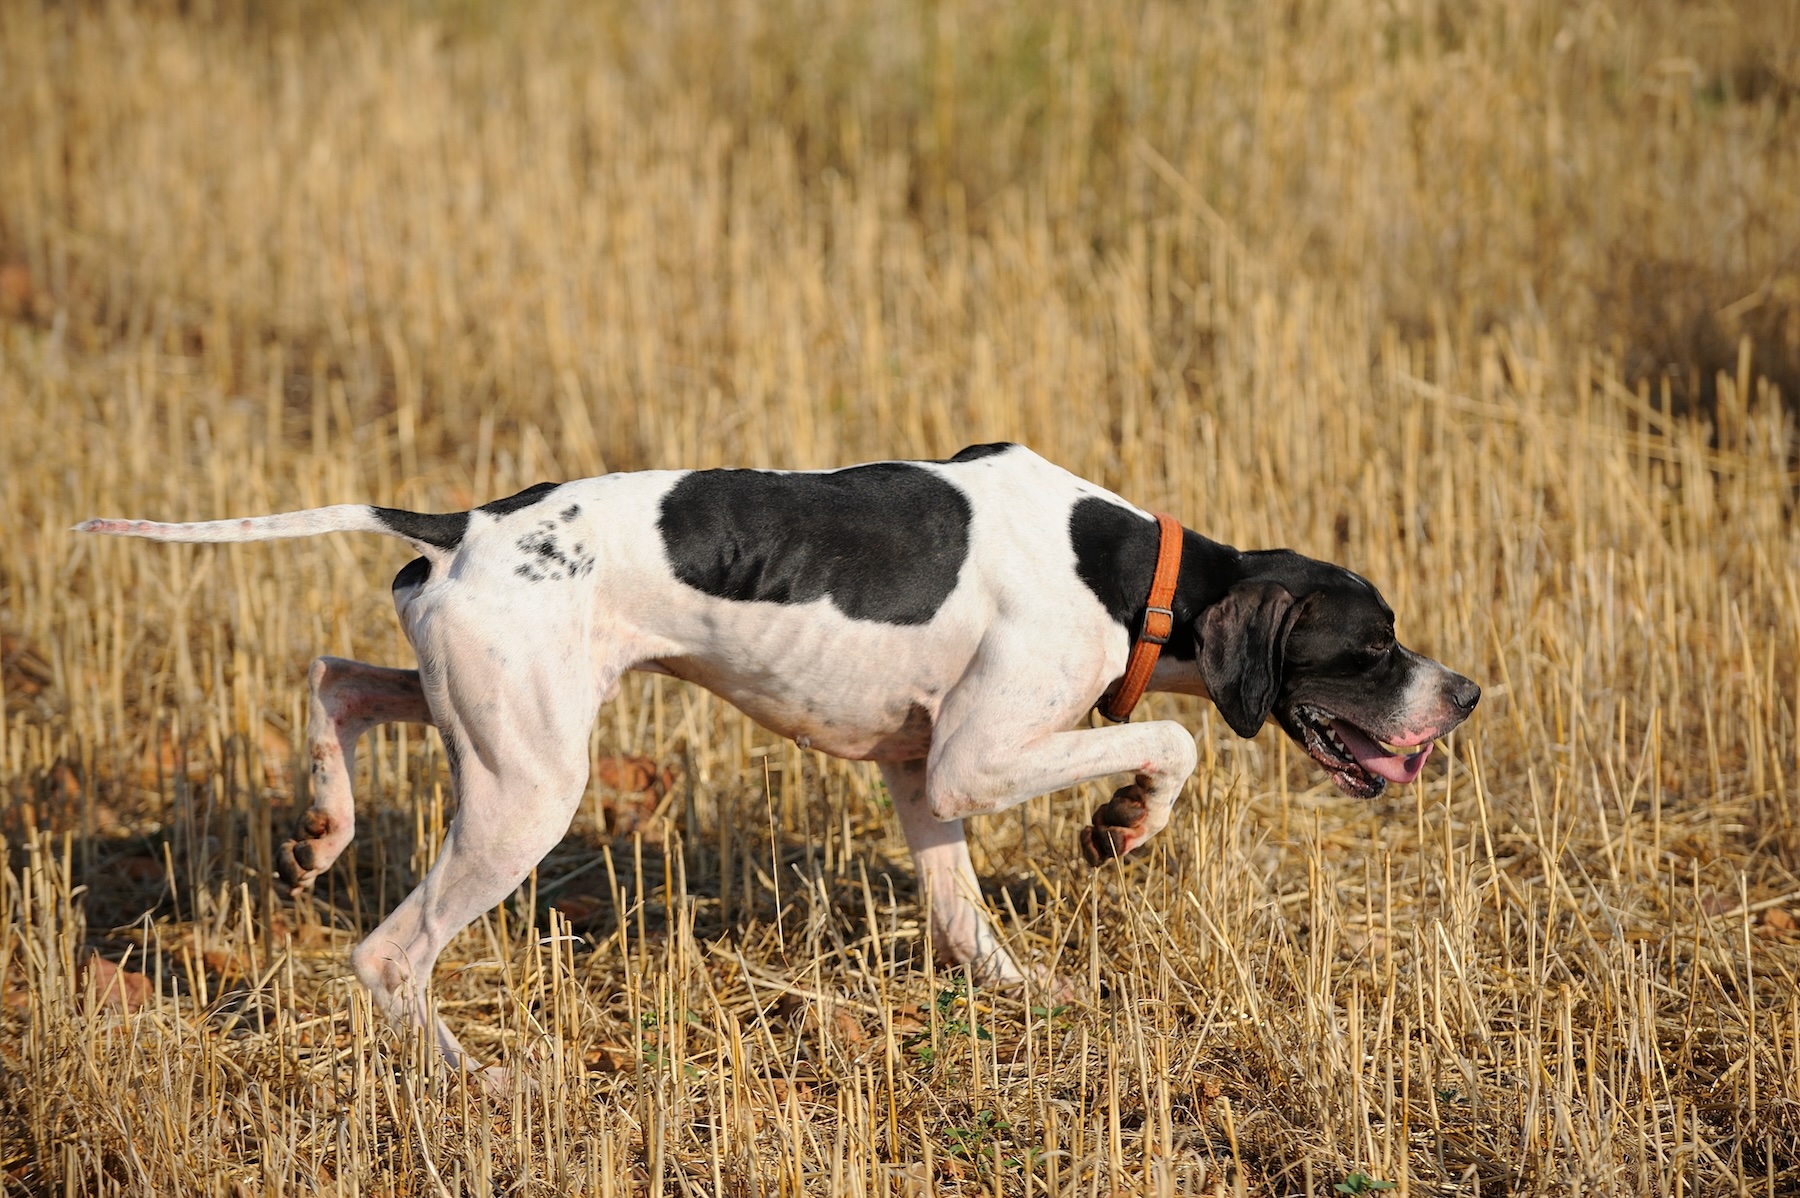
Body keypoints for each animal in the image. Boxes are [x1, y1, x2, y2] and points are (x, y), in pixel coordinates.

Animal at [81, 442, 1476, 1079]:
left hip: (477, 712)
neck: (1131, 571)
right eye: (1372, 645)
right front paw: (1125, 819)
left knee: (335, 680)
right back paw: (473, 1078)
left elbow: (965, 922)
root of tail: (468, 524)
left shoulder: (922, 780)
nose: (1463, 694)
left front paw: (1033, 997)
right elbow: (1173, 733)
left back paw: (320, 826)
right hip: (527, 794)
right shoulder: (976, 761)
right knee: (389, 953)